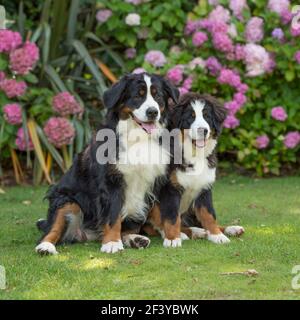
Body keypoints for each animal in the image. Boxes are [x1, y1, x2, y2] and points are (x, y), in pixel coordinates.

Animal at [35, 72, 180, 255]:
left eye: (158, 96)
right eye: (137, 96)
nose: (152, 112)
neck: (139, 138)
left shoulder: (163, 180)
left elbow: (169, 213)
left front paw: (173, 238)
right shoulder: (111, 182)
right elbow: (112, 215)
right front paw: (111, 242)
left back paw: (135, 239)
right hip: (65, 199)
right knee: (53, 228)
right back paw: (45, 246)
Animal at [144, 92, 245, 248]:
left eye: (207, 116)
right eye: (190, 117)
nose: (203, 130)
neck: (194, 153)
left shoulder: (205, 187)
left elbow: (209, 215)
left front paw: (217, 235)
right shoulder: (170, 188)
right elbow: (171, 216)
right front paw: (172, 239)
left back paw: (230, 229)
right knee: (154, 225)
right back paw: (187, 233)